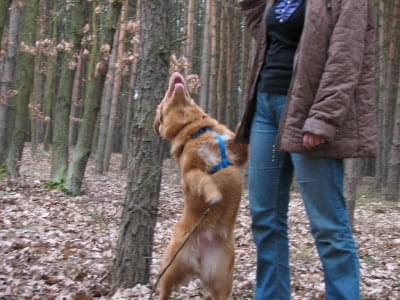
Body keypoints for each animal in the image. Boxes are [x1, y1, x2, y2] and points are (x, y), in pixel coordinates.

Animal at [153, 71, 247, 298]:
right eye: (164, 98)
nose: (175, 73)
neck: (195, 129)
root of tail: (198, 262)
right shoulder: (190, 174)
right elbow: (204, 180)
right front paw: (214, 195)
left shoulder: (239, 154)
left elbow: (242, 138)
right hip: (171, 264)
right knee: (164, 288)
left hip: (222, 278)